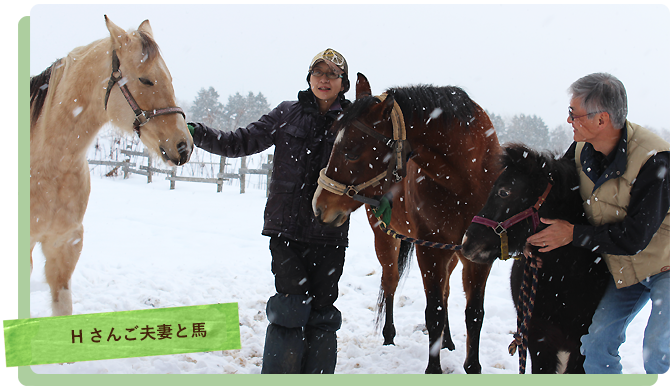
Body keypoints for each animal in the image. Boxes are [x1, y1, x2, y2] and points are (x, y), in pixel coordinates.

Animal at [312, 74, 502, 374]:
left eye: (351, 152)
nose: (319, 207)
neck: (464, 181)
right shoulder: (430, 250)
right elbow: (434, 312)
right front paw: (433, 369)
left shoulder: (478, 255)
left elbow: (474, 314)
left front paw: (473, 367)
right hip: (386, 239)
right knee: (390, 282)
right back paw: (389, 335)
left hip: (451, 254)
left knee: (446, 292)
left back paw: (448, 340)